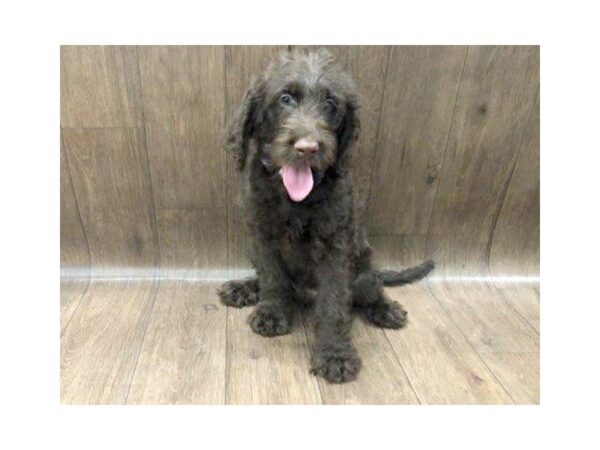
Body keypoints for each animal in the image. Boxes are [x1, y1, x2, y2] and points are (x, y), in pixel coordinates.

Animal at [218, 50, 434, 384]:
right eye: (285, 99)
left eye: (331, 104)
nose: (307, 148)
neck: (296, 198)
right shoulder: (262, 234)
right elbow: (272, 276)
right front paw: (272, 312)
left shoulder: (336, 245)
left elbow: (333, 300)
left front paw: (335, 354)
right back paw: (244, 288)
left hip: (363, 266)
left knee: (370, 287)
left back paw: (385, 309)